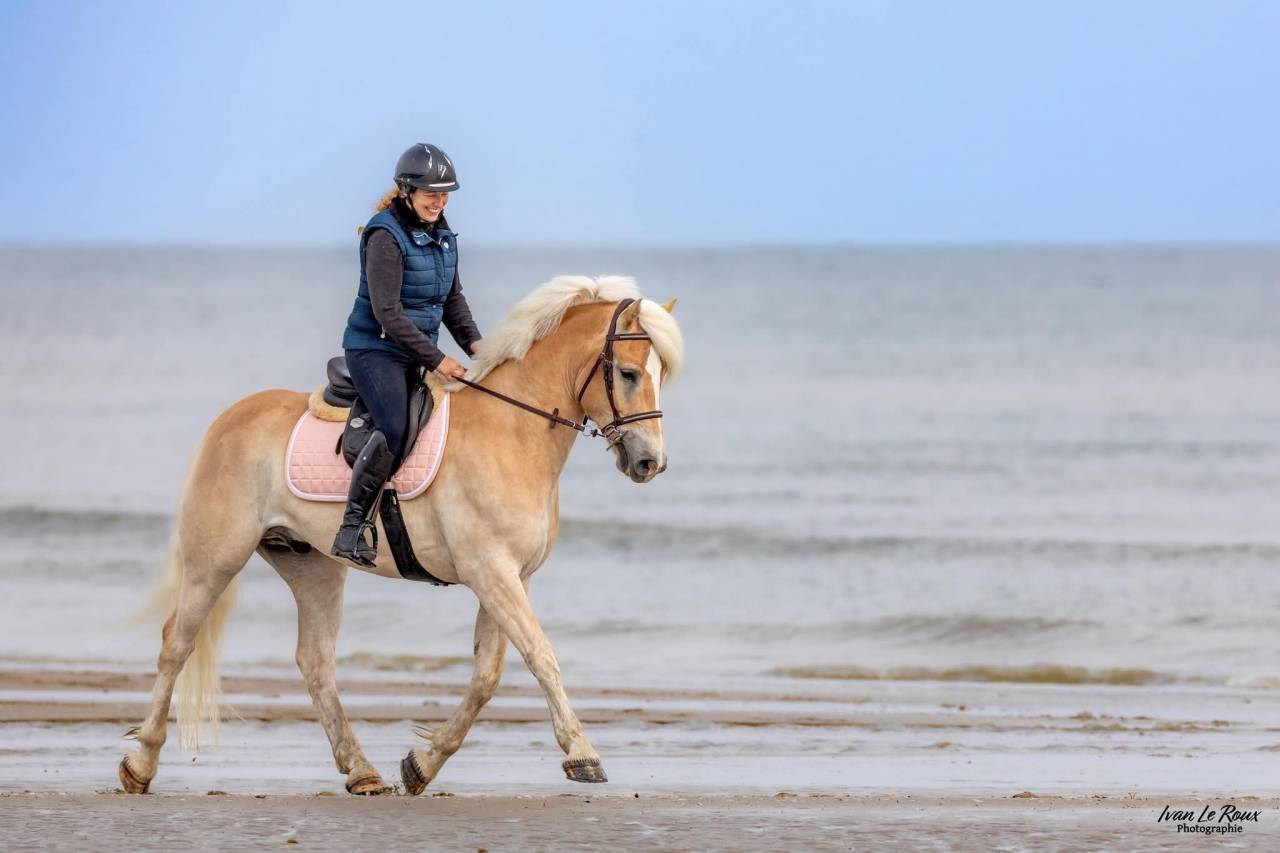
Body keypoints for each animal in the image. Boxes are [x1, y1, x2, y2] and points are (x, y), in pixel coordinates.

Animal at [118, 275, 683, 796]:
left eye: (661, 375)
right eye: (629, 372)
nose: (650, 463)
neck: (512, 430)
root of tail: (229, 418)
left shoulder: (510, 576)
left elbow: (487, 675)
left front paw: (422, 764)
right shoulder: (491, 572)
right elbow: (541, 656)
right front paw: (582, 754)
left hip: (311, 565)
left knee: (315, 660)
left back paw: (362, 772)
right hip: (216, 559)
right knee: (177, 643)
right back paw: (140, 766)